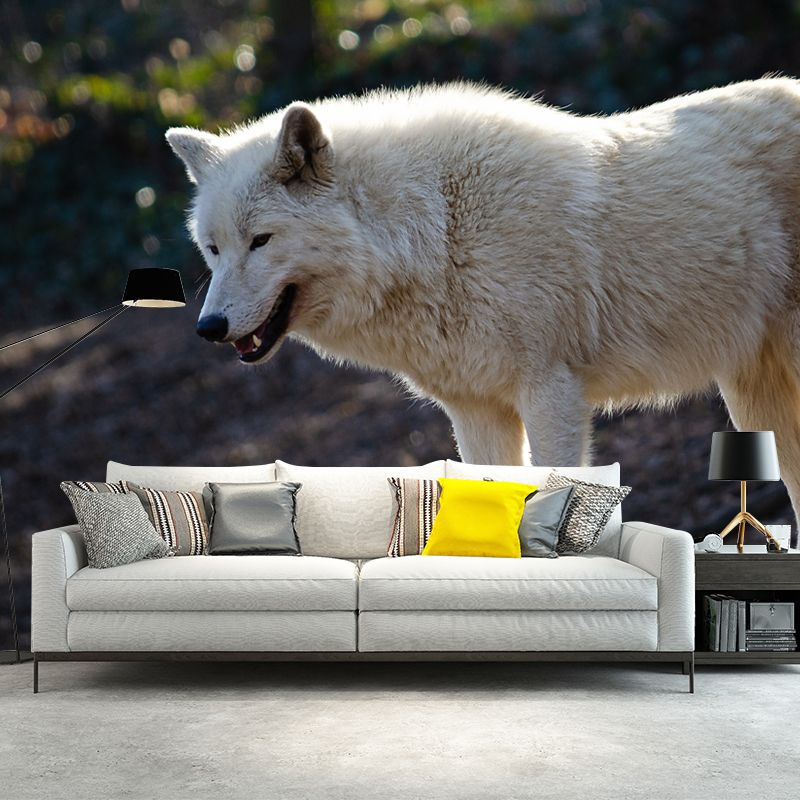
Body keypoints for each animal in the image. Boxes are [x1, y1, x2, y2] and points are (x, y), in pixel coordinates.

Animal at [167, 78, 800, 523]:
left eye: (261, 240)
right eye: (213, 248)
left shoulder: (551, 393)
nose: (209, 327)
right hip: (754, 399)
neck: (437, 230)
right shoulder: (476, 410)